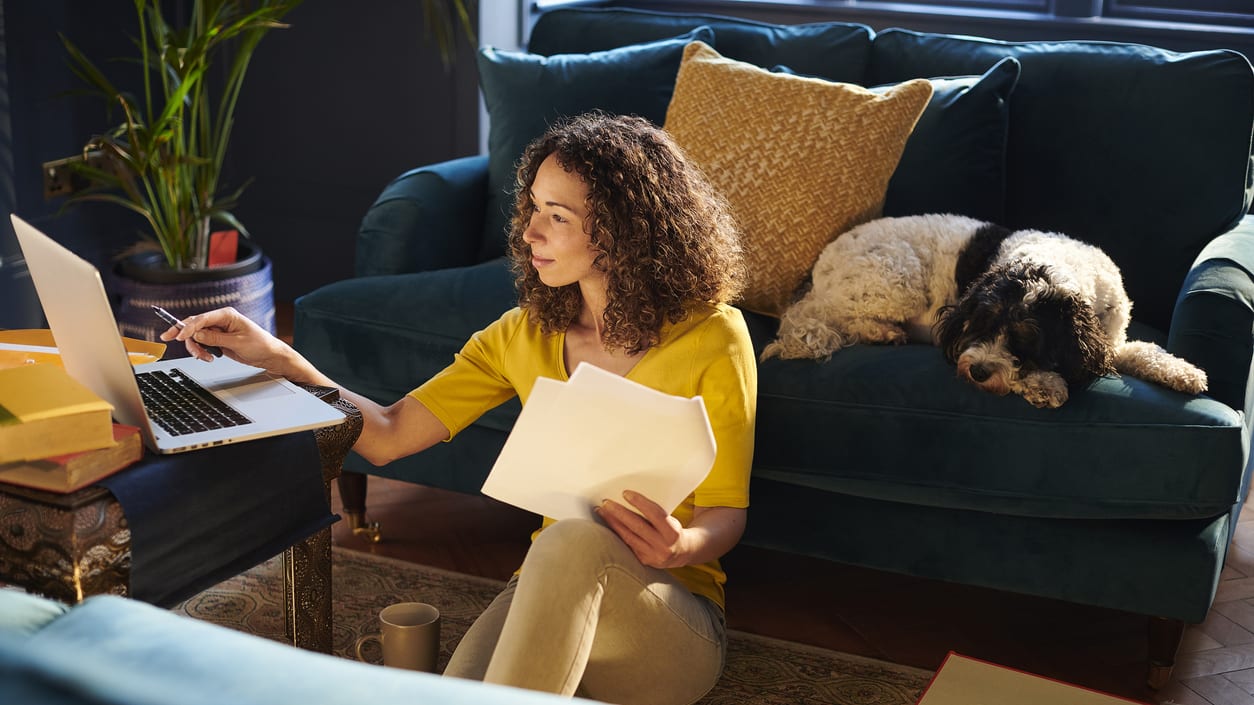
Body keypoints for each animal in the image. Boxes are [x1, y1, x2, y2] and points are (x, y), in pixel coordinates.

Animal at [757, 210, 1208, 406]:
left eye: (1026, 338)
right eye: (980, 325)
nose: (977, 371)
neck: (1053, 267)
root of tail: (818, 269)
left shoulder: (1109, 339)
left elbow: (1144, 350)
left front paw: (1184, 372)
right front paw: (1045, 384)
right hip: (896, 279)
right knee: (837, 317)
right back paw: (882, 331)